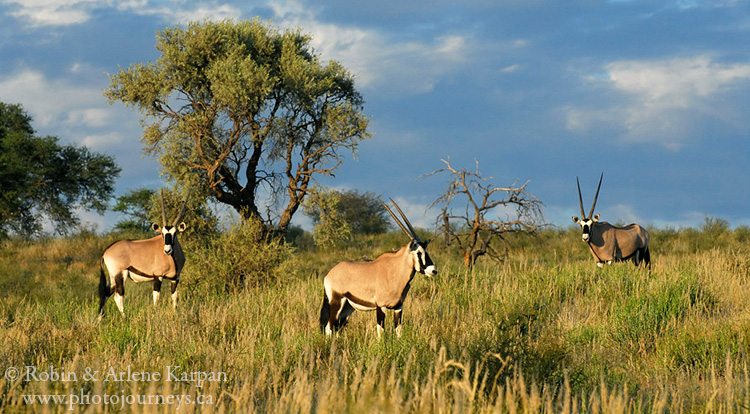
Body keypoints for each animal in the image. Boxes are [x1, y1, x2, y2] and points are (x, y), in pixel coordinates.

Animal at [99, 189, 191, 318]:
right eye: (162, 233)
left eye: (175, 233)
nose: (167, 250)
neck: (172, 259)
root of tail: (106, 251)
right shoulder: (158, 276)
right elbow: (156, 298)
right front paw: (155, 315)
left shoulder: (175, 278)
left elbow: (175, 298)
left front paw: (175, 315)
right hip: (120, 274)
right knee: (118, 296)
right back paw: (124, 318)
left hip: (112, 277)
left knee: (106, 293)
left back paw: (99, 320)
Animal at [318, 199, 438, 338]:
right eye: (418, 252)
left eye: (426, 251)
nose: (433, 270)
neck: (394, 271)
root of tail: (329, 274)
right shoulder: (381, 306)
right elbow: (381, 332)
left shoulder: (398, 307)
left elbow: (399, 332)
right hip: (336, 302)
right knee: (329, 327)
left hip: (347, 308)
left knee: (337, 328)